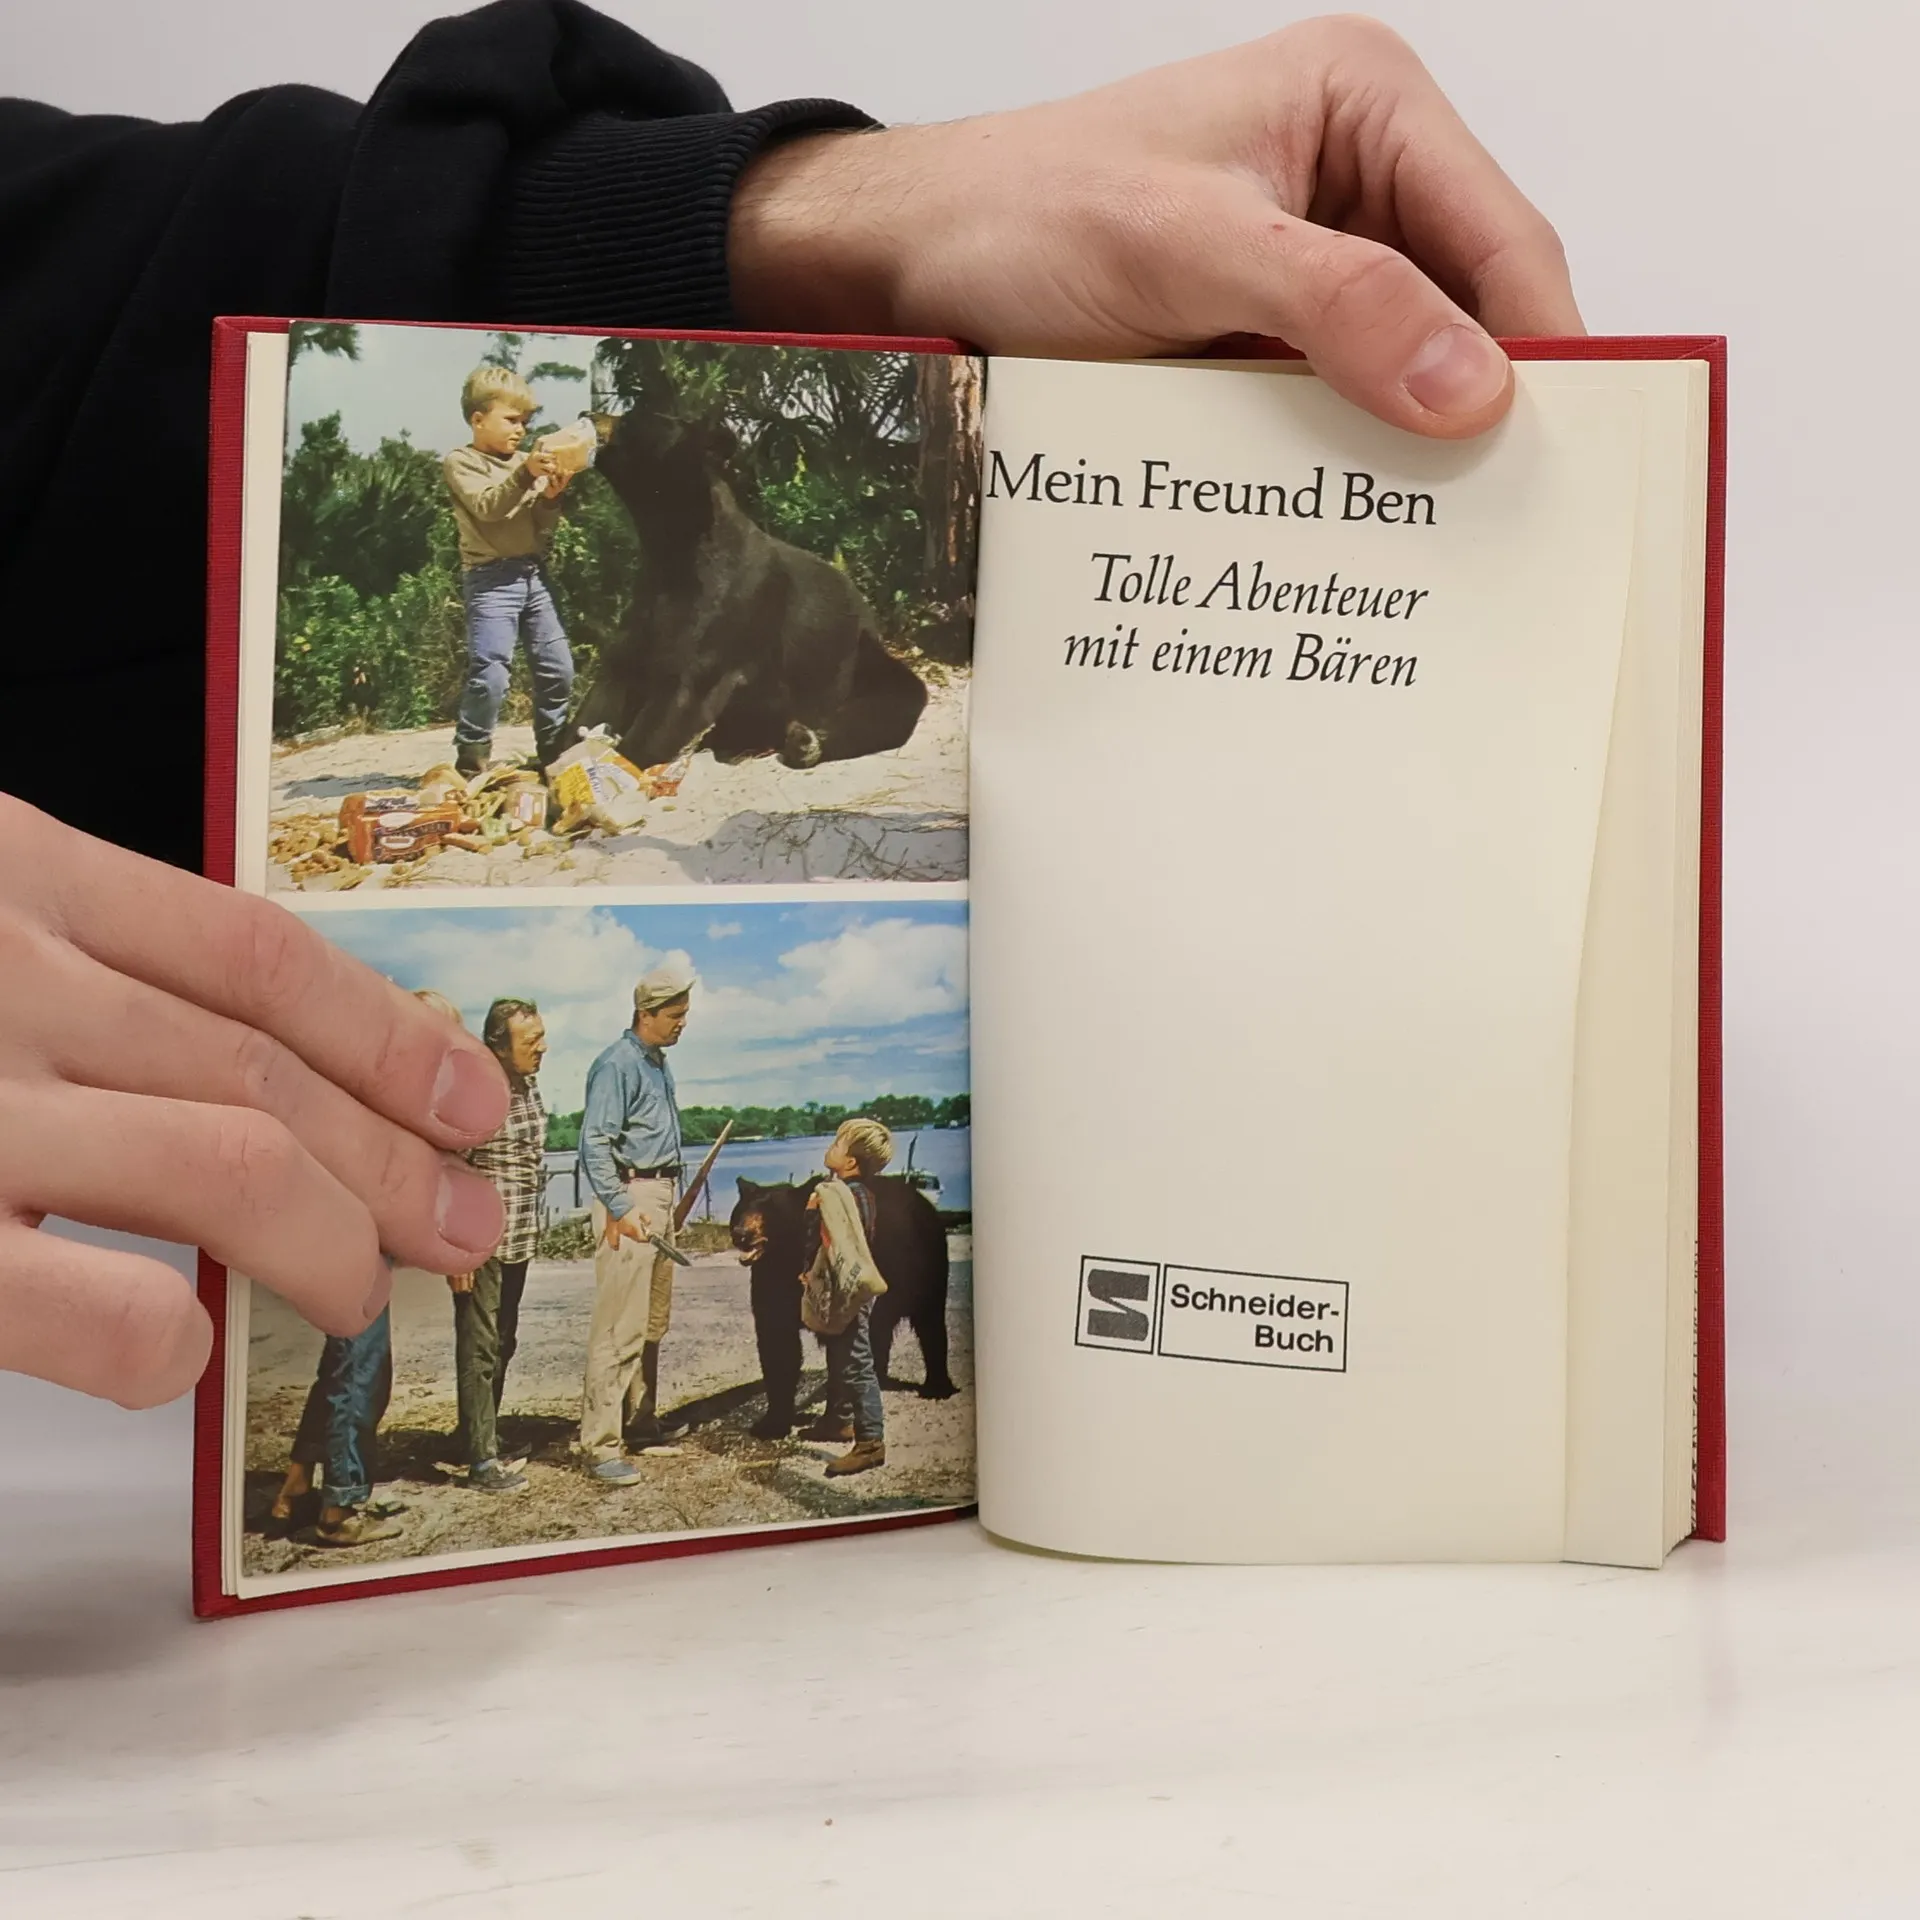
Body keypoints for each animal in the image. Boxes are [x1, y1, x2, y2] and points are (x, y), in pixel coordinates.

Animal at [578, 402, 929, 773]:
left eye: (630, 420)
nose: (589, 413)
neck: (673, 548)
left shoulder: (724, 616)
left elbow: (678, 699)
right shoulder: (641, 619)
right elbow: (607, 689)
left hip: (861, 658)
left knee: (900, 698)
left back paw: (807, 742)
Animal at [729, 1173, 957, 1440]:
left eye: (770, 1211)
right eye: (741, 1210)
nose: (741, 1234)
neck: (788, 1258)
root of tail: (924, 1202)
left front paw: (829, 1425)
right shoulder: (771, 1282)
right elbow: (777, 1344)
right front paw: (771, 1424)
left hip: (922, 1264)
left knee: (929, 1320)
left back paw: (937, 1387)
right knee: (879, 1329)